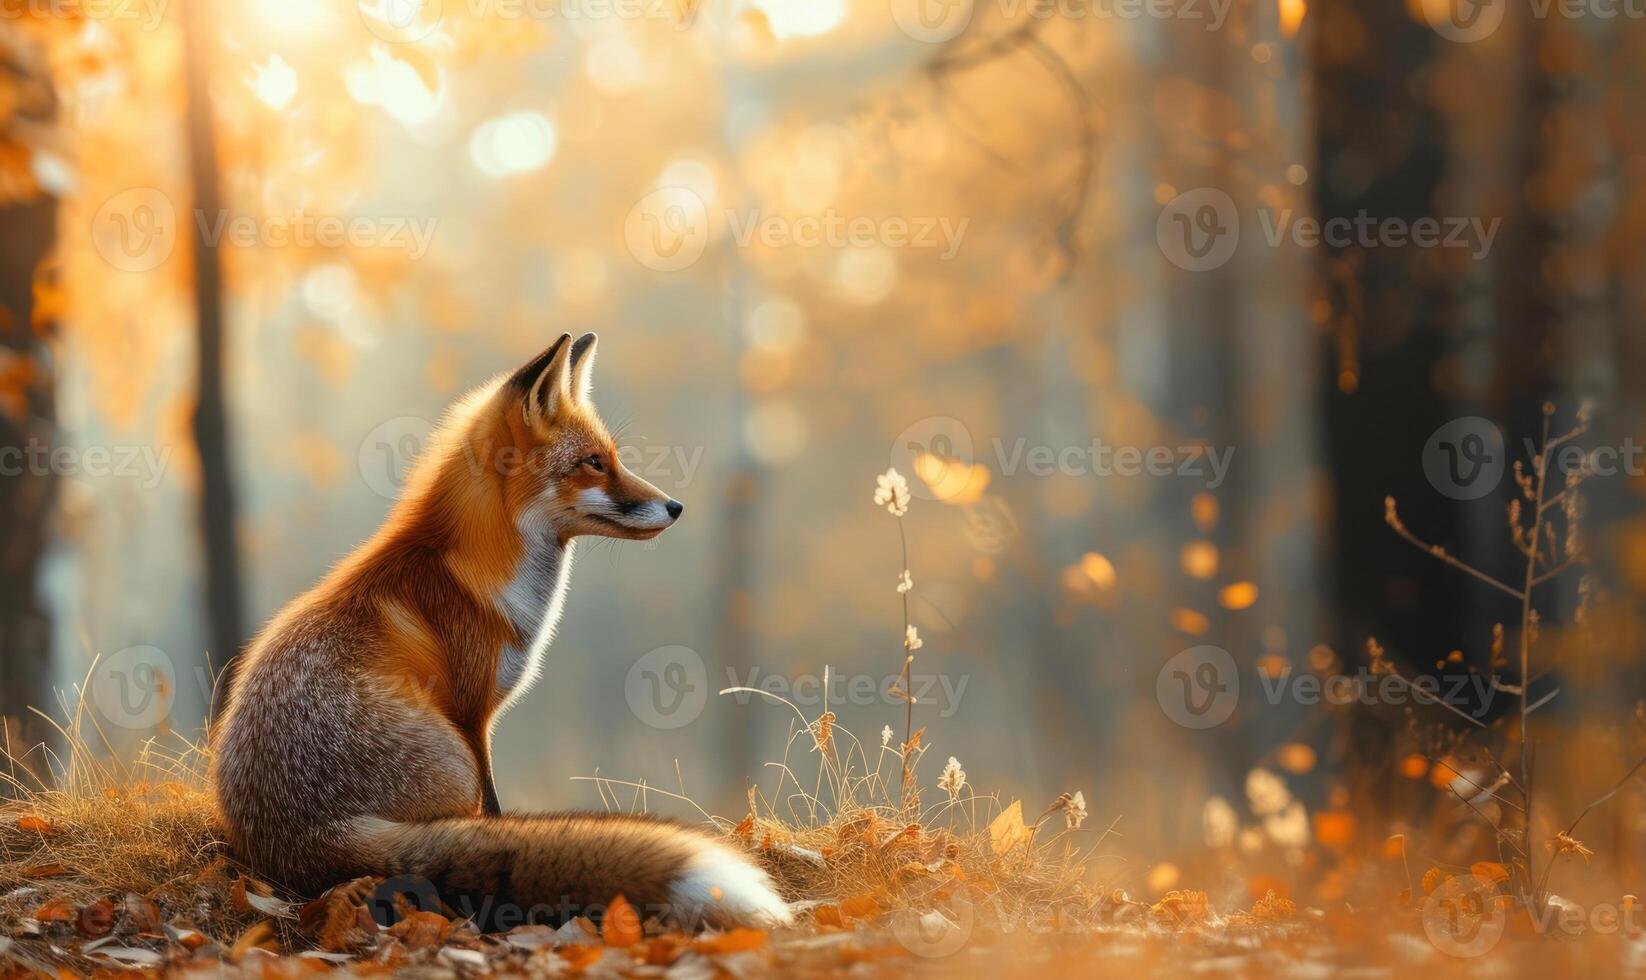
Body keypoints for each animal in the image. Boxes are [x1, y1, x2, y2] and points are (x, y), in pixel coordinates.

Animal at [210, 337, 790, 935]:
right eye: (594, 463)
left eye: (613, 458)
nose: (676, 507)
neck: (477, 574)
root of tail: (306, 837)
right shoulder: (473, 714)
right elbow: (495, 810)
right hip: (453, 762)